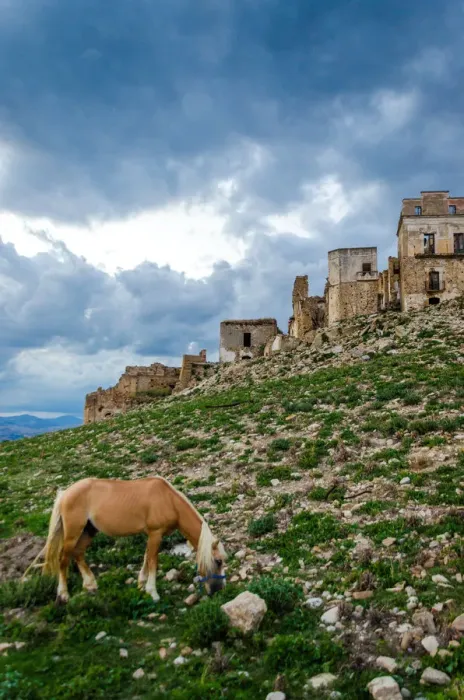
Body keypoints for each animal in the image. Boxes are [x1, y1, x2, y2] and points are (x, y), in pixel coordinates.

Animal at [23, 476, 226, 604]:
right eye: (218, 561)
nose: (219, 589)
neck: (168, 500)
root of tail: (66, 493)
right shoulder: (155, 533)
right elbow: (153, 561)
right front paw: (153, 592)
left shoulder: (151, 535)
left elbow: (146, 557)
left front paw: (141, 583)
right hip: (73, 533)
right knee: (63, 560)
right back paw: (63, 594)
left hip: (89, 531)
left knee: (78, 554)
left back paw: (90, 585)